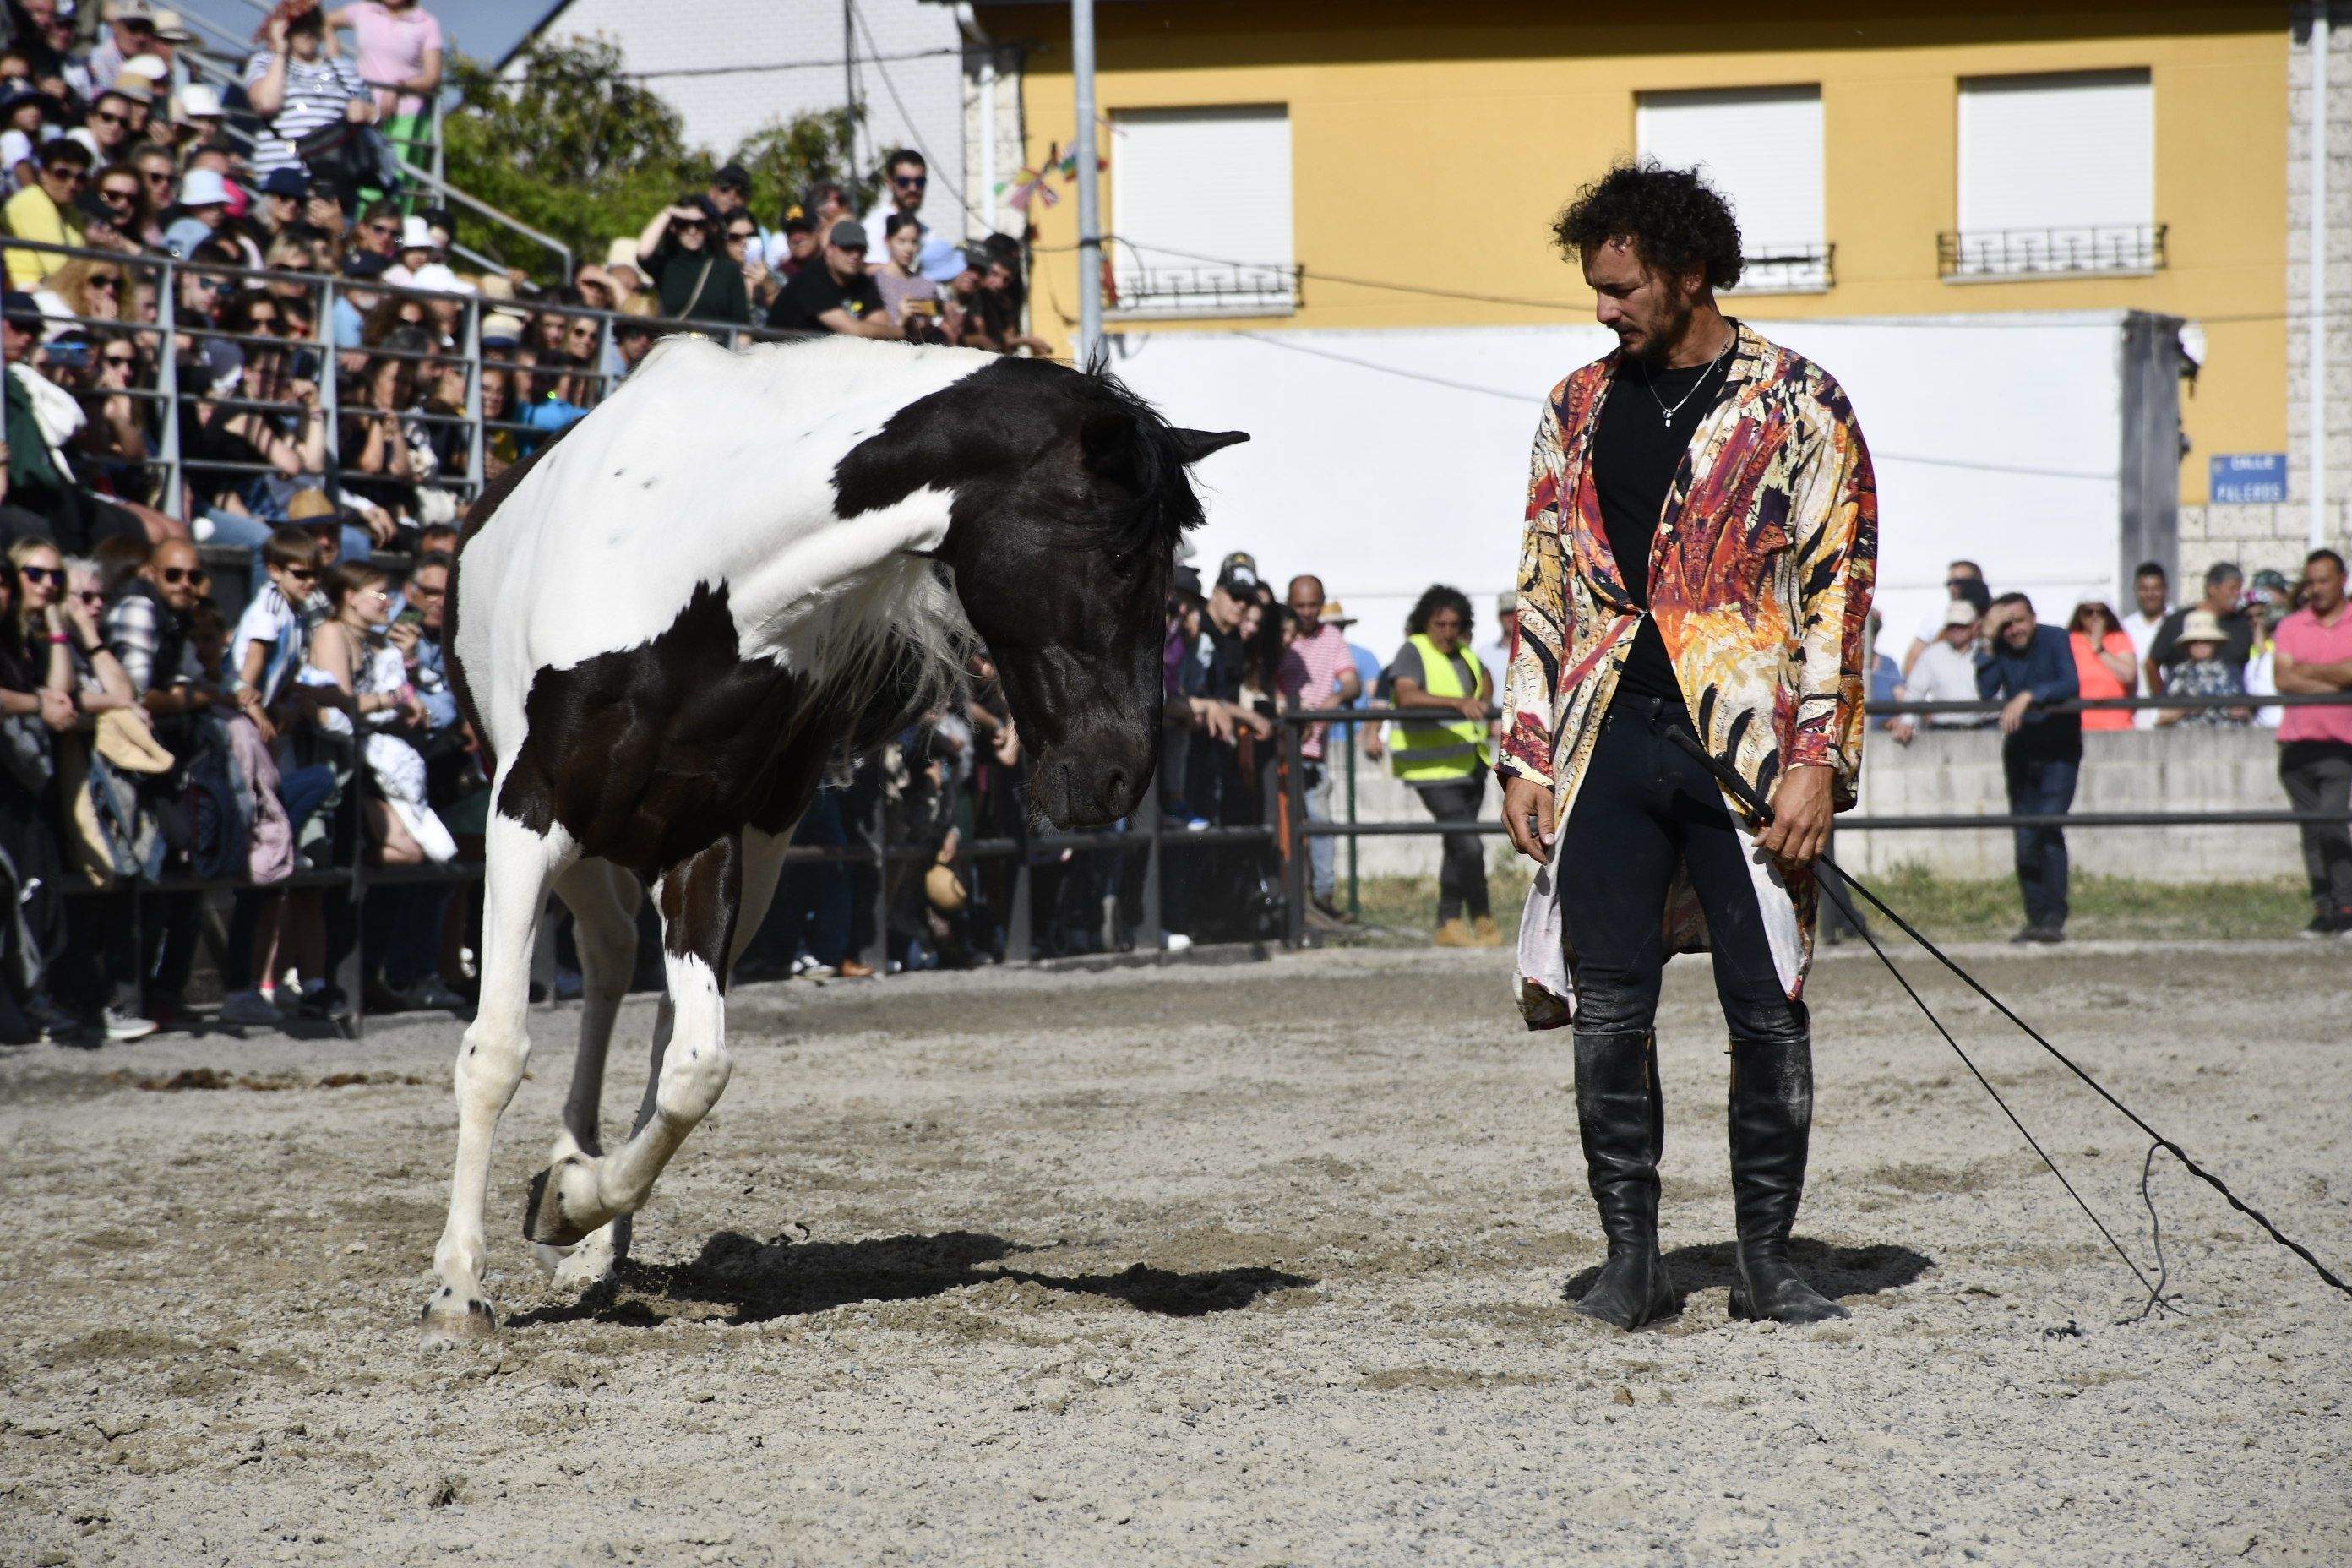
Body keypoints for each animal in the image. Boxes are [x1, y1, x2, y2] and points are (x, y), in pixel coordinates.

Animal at [423, 338, 1241, 1344]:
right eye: (1121, 557)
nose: (1120, 775)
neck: (697, 577)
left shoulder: (706, 844)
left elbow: (696, 1068)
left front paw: (571, 1200)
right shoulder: (526, 817)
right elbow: (496, 1051)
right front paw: (461, 1286)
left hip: (750, 853)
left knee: (644, 1007)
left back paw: (588, 1230)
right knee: (607, 962)